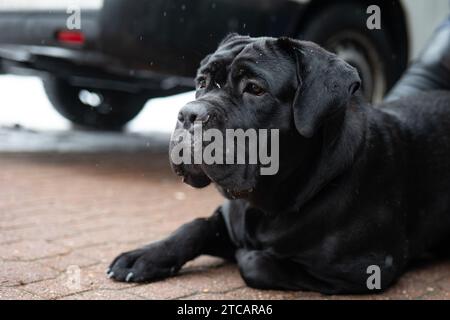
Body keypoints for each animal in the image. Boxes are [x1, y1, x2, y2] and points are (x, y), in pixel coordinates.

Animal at [108, 35, 450, 296]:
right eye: (201, 82)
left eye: (255, 89)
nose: (190, 114)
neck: (266, 202)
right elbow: (193, 226)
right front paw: (143, 256)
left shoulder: (367, 266)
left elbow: (256, 264)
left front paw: (246, 253)